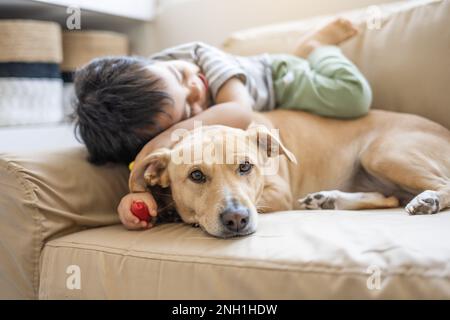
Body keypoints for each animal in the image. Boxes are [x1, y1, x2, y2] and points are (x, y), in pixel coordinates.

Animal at [128, 110, 450, 238]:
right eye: (196, 176)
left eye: (245, 166)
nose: (236, 219)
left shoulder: (280, 192)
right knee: (388, 198)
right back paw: (328, 199)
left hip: (381, 152)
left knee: (441, 184)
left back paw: (428, 200)